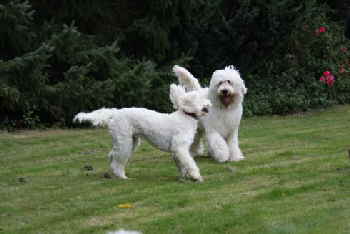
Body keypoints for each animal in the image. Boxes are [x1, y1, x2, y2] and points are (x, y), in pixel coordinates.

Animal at [74, 83, 211, 182]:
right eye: (200, 99)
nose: (209, 104)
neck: (186, 116)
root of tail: (115, 113)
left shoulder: (177, 151)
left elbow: (182, 164)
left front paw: (184, 177)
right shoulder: (180, 148)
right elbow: (190, 163)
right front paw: (196, 176)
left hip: (130, 142)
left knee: (112, 155)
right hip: (125, 142)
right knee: (117, 161)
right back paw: (122, 177)